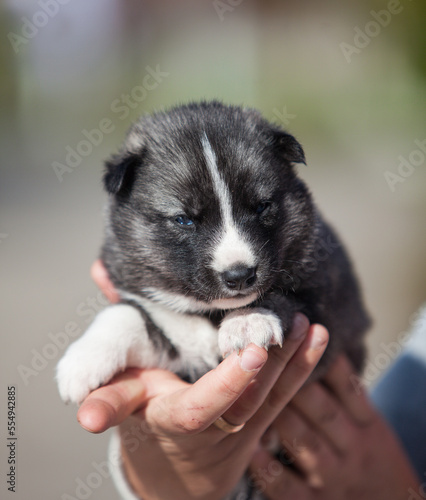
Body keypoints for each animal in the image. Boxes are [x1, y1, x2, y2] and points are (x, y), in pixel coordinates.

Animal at [56, 99, 370, 404]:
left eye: (262, 206)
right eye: (184, 219)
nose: (240, 275)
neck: (209, 311)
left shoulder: (329, 305)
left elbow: (288, 297)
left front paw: (247, 320)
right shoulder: (173, 339)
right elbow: (126, 315)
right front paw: (82, 362)